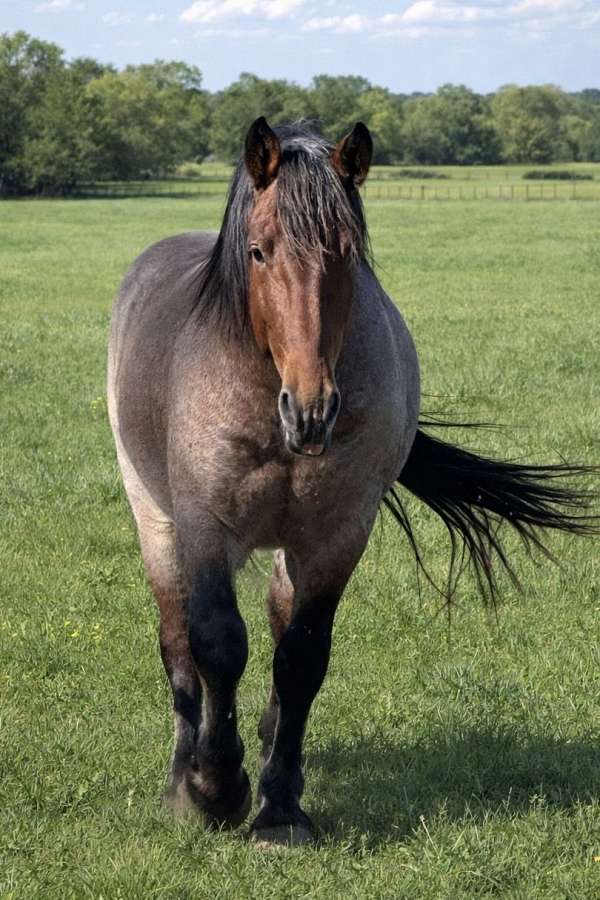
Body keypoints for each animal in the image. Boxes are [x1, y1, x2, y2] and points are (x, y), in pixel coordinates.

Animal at [108, 117, 597, 846]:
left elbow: (301, 657)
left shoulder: (337, 534)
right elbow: (216, 645)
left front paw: (279, 809)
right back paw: (182, 776)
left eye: (345, 254)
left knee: (277, 626)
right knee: (177, 645)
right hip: (154, 517)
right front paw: (215, 789)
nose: (312, 409)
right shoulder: (204, 525)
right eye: (258, 251)